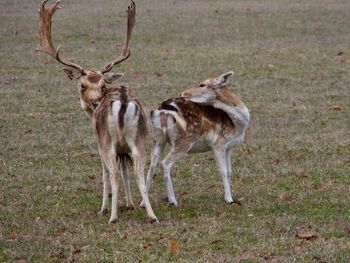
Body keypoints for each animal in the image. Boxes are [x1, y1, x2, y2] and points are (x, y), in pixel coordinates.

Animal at [35, 0, 157, 224]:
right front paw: (130, 204)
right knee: (139, 171)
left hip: (107, 142)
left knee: (113, 173)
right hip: (140, 140)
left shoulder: (101, 144)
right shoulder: (123, 149)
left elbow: (106, 174)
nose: (94, 102)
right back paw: (151, 216)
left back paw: (113, 216)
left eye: (102, 85)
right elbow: (126, 172)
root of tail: (124, 103)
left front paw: (104, 208)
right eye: (83, 85)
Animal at [141, 72, 250, 208]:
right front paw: (229, 199)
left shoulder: (229, 146)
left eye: (202, 84)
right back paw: (172, 200)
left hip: (158, 138)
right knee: (165, 163)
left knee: (152, 165)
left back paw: (143, 203)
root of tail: (163, 109)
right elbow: (223, 170)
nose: (182, 93)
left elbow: (230, 171)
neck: (236, 125)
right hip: (184, 141)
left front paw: (229, 195)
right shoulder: (218, 144)